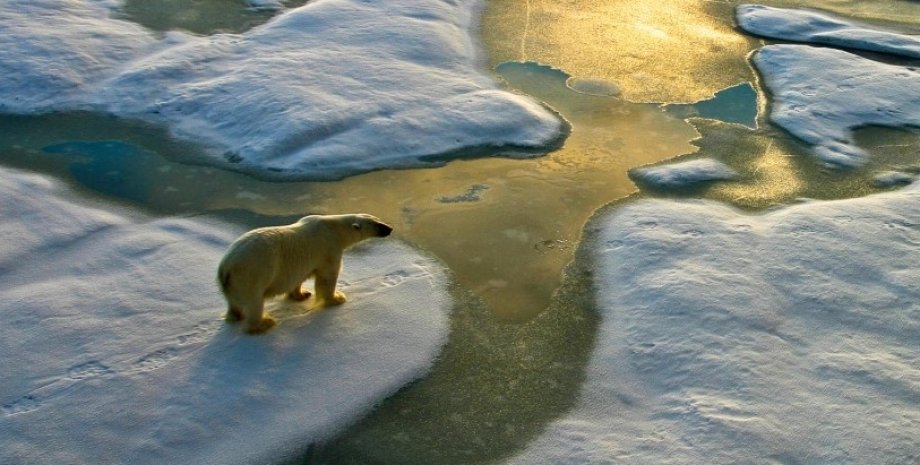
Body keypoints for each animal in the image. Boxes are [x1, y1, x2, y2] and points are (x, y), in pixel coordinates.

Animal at [217, 214, 394, 334]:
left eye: (378, 219)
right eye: (376, 224)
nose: (390, 228)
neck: (333, 228)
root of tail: (226, 267)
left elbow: (299, 278)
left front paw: (302, 294)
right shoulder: (329, 249)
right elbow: (327, 277)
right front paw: (337, 298)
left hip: (233, 284)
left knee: (234, 303)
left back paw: (236, 316)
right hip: (252, 274)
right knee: (254, 303)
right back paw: (264, 323)